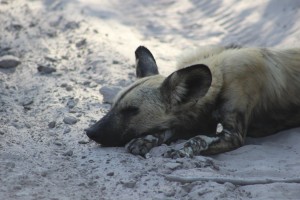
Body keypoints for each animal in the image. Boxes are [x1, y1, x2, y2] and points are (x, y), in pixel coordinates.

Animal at [84, 45, 300, 158]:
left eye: (131, 110)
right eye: (113, 106)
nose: (90, 131)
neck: (221, 75)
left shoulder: (233, 135)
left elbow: (198, 139)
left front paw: (182, 150)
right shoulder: (194, 122)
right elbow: (166, 131)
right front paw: (145, 140)